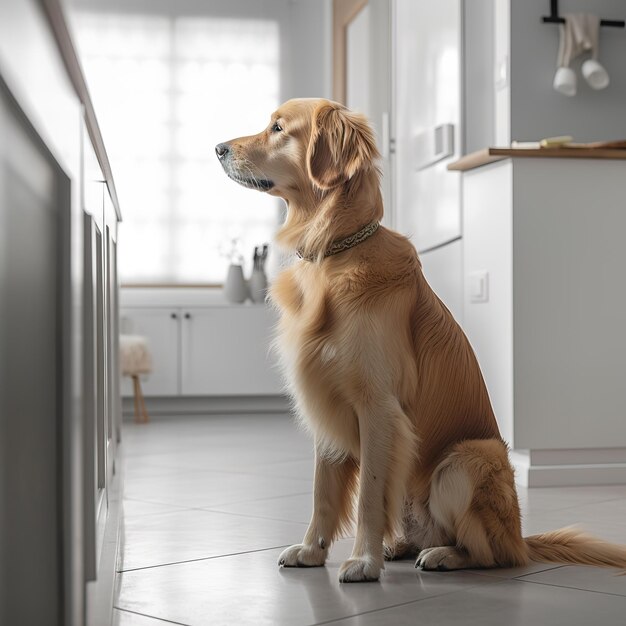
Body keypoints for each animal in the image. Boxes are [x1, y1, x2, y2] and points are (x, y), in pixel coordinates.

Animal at [217, 97, 624, 580]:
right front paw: (312, 550)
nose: (218, 148)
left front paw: (362, 561)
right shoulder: (325, 400)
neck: (335, 251)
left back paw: (444, 556)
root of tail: (520, 537)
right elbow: (322, 491)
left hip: (467, 459)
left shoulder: (378, 407)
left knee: (488, 553)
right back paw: (401, 546)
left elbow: (369, 496)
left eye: (278, 128)